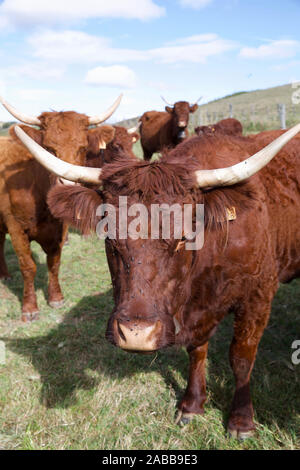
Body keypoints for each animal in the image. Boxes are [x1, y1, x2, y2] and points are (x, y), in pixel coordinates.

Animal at [16, 119, 300, 438]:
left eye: (184, 237)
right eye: (109, 238)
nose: (136, 334)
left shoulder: (258, 295)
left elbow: (241, 357)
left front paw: (241, 421)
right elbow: (196, 350)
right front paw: (192, 405)